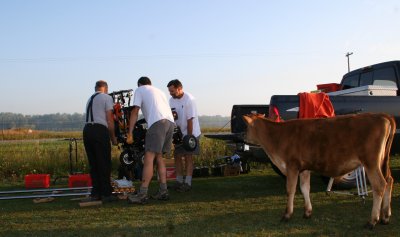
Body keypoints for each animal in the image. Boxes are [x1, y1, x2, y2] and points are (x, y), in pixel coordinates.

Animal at [242, 113, 396, 230]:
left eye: (246, 127)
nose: (242, 137)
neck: (276, 138)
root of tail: (381, 115)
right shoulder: (304, 168)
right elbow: (305, 188)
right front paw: (307, 212)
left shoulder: (292, 166)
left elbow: (290, 190)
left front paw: (287, 215)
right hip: (382, 161)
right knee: (389, 180)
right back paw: (386, 217)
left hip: (371, 162)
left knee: (379, 185)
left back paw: (372, 221)